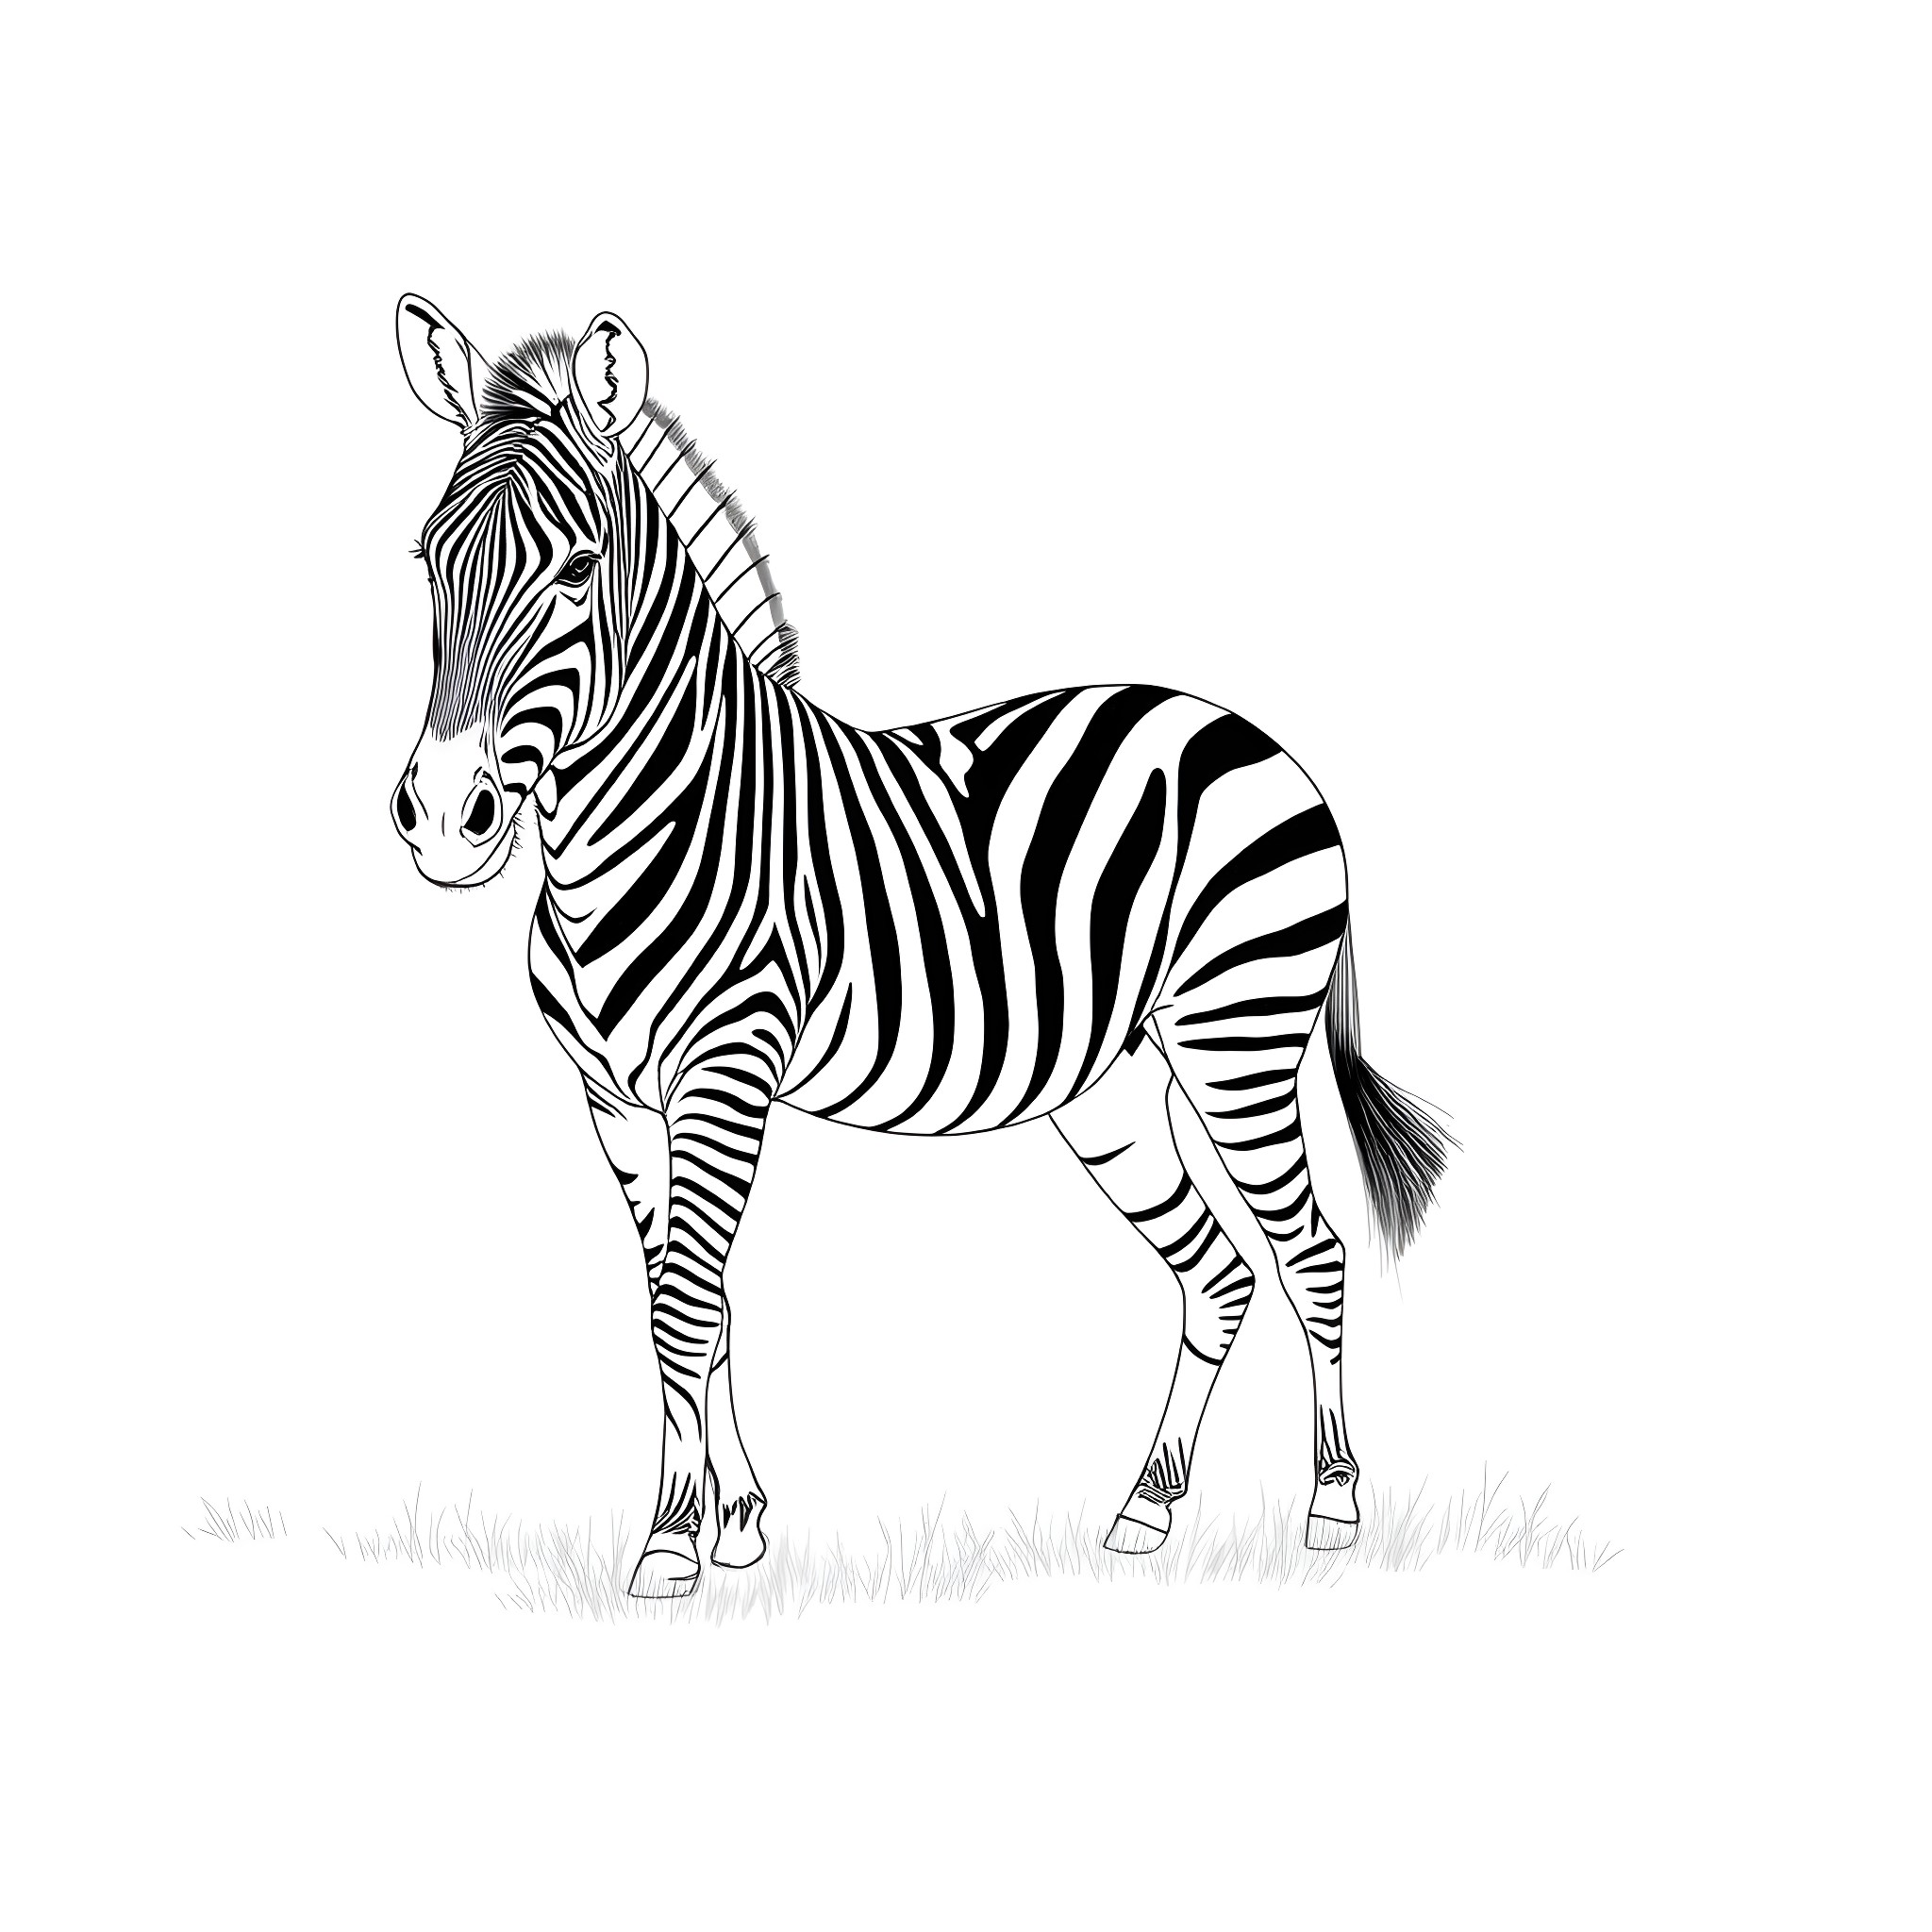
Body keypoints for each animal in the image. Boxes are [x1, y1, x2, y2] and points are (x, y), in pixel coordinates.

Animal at [389, 295, 1451, 1599]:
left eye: (580, 569)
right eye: (425, 559)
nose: (443, 817)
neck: (645, 824)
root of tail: (1255, 735)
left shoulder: (726, 1075)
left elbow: (685, 1307)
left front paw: (669, 1542)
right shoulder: (614, 1102)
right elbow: (693, 1304)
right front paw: (733, 1518)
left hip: (1236, 1035)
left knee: (1312, 1253)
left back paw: (1332, 1502)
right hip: (1112, 1089)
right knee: (1219, 1269)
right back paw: (1146, 1506)